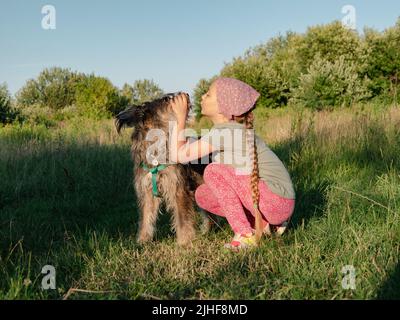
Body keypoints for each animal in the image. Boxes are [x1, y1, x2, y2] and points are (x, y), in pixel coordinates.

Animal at [114, 92, 211, 245]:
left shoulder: (178, 188)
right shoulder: (146, 191)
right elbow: (145, 217)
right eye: (166, 99)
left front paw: (184, 241)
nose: (187, 94)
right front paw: (142, 240)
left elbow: (182, 218)